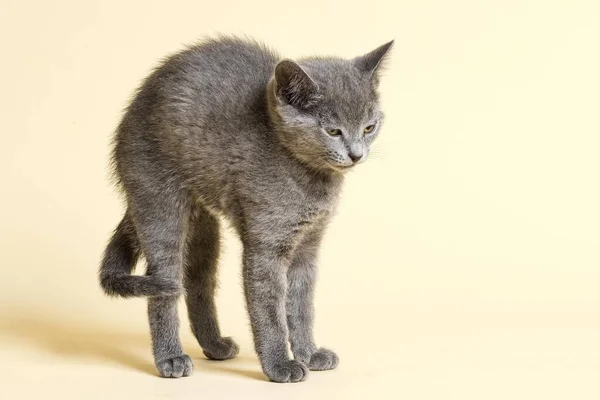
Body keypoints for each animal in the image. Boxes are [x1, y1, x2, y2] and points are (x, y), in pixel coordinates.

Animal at [99, 36, 394, 382]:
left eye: (369, 127)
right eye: (333, 131)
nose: (356, 154)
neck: (312, 181)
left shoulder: (308, 246)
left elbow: (302, 306)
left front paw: (309, 354)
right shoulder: (266, 244)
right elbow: (269, 310)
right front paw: (280, 365)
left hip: (204, 226)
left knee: (199, 283)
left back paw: (214, 345)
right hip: (159, 205)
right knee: (163, 289)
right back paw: (171, 358)